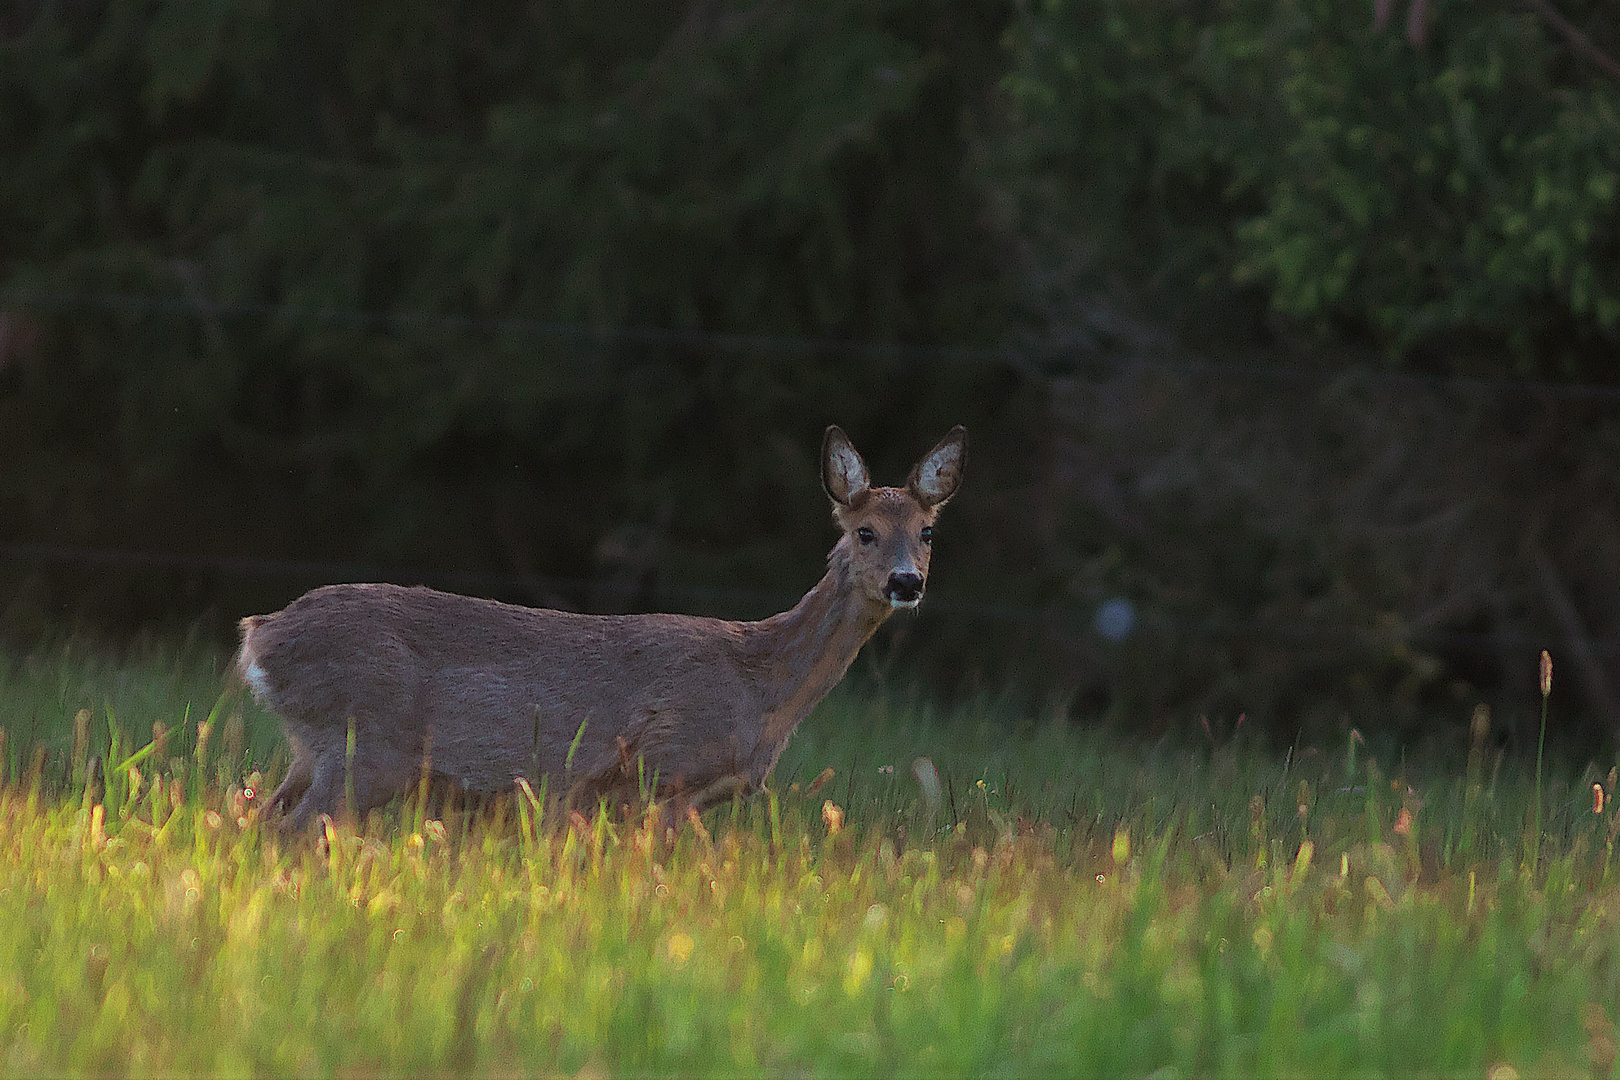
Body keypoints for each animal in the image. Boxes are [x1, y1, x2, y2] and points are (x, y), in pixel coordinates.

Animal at [236, 420, 965, 829]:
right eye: (865, 532)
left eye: (927, 532)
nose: (907, 583)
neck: (763, 684)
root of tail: (259, 638)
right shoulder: (661, 772)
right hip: (366, 747)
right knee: (286, 834)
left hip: (314, 752)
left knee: (247, 818)